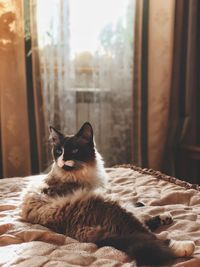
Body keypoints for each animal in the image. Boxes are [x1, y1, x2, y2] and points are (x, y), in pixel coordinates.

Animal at [20, 122, 195, 266]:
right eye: (59, 151)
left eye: (74, 151)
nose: (62, 161)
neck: (80, 172)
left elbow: (133, 202)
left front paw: (142, 204)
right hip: (115, 210)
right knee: (149, 236)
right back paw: (185, 246)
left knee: (144, 226)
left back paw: (165, 217)